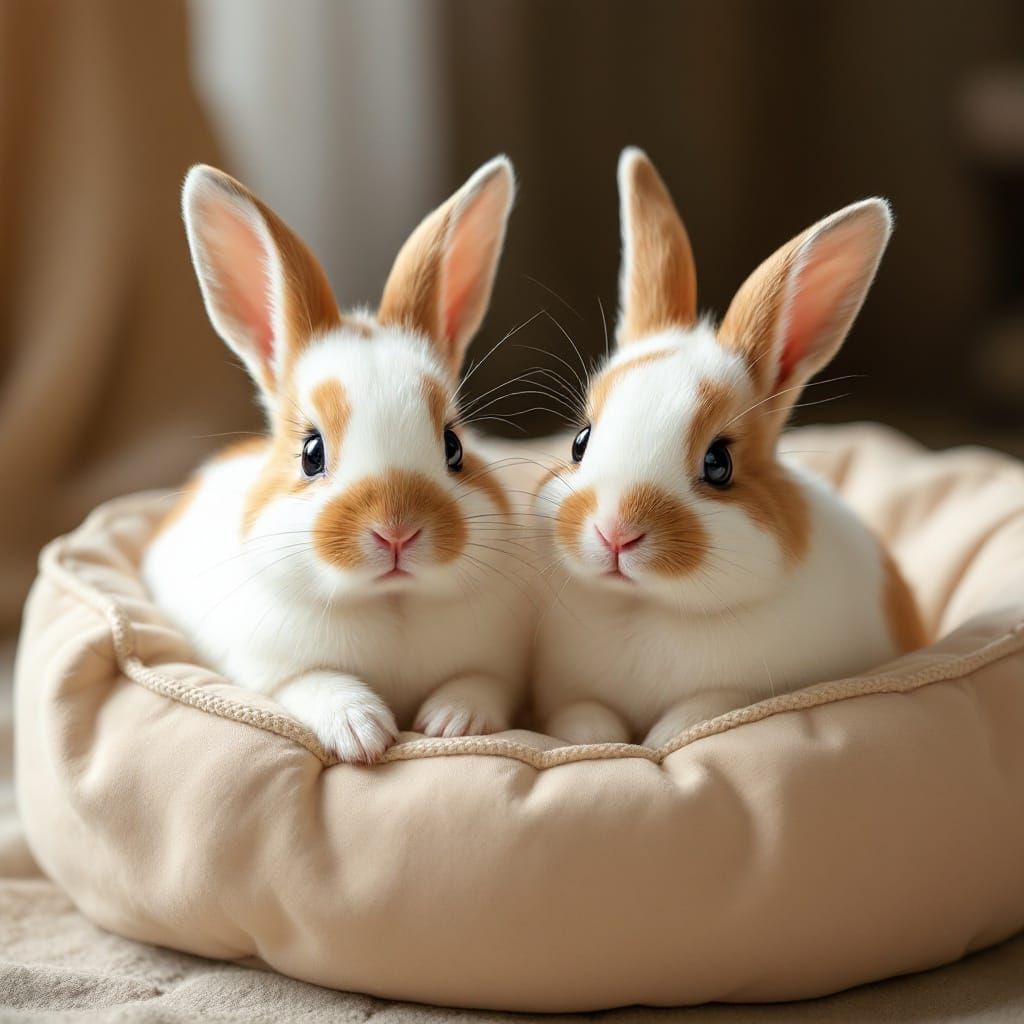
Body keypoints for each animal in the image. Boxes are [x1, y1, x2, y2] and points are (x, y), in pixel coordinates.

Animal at [143, 157, 535, 764]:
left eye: (453, 446)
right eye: (311, 453)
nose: (397, 531)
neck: (391, 602)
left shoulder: (502, 663)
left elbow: (483, 683)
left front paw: (452, 720)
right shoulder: (268, 667)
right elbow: (313, 681)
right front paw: (362, 730)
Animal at [531, 148, 926, 748]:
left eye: (719, 464)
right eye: (580, 441)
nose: (615, 532)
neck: (645, 607)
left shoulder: (740, 695)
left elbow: (699, 714)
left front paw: (659, 739)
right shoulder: (568, 695)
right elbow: (582, 716)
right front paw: (596, 739)